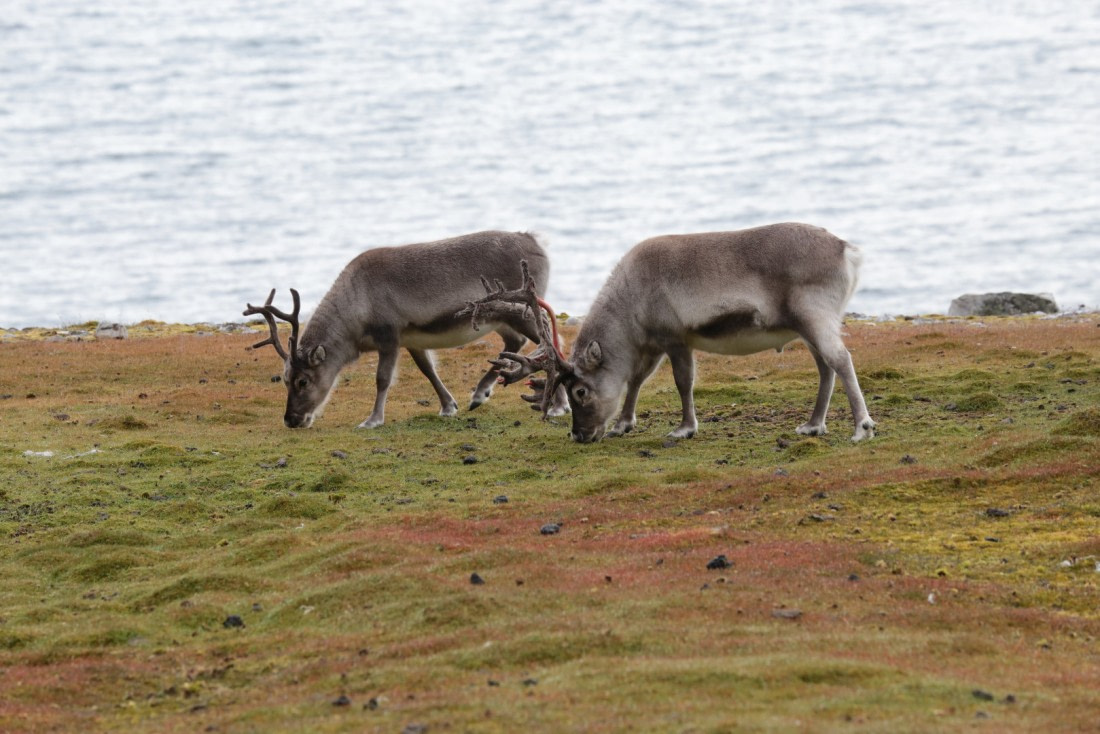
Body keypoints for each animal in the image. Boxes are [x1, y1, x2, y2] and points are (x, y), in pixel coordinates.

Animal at [243, 230, 567, 429]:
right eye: (285, 378)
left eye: (303, 381)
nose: (291, 420)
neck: (356, 309)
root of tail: (537, 242)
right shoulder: (412, 338)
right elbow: (428, 370)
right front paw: (448, 406)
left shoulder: (389, 335)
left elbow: (383, 379)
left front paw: (372, 420)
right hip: (501, 317)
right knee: (519, 342)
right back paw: (480, 394)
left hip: (522, 308)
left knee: (550, 344)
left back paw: (556, 406)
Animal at [461, 223, 876, 444]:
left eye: (579, 391)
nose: (579, 434)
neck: (630, 305)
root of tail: (848, 250)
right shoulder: (653, 345)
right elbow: (636, 381)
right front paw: (624, 424)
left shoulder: (676, 338)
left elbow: (682, 383)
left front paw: (684, 429)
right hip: (807, 325)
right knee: (826, 367)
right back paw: (813, 424)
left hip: (815, 315)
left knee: (841, 360)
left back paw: (861, 427)